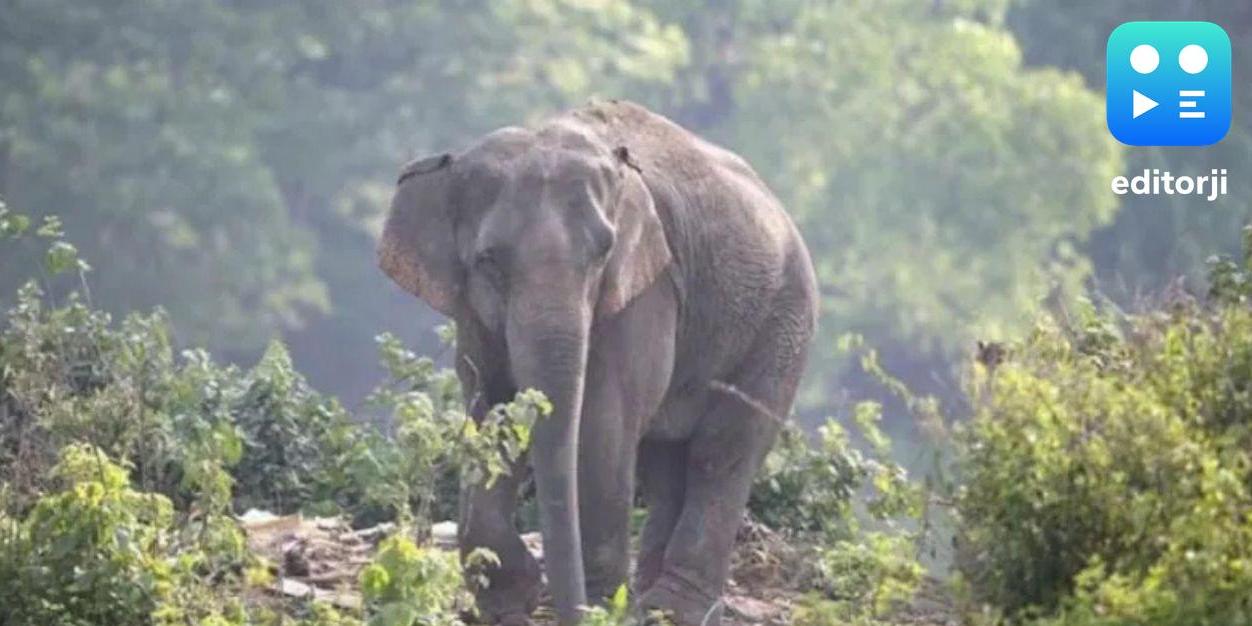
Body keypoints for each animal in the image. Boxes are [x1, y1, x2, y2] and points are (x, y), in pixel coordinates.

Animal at [378, 100, 817, 625]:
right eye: (488, 261)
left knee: (722, 451)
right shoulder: (472, 311)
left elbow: (601, 423)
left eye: (603, 253)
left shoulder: (645, 290)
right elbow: (491, 411)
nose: (566, 605)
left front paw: (602, 604)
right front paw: (509, 600)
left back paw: (668, 608)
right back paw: (649, 603)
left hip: (783, 323)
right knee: (665, 465)